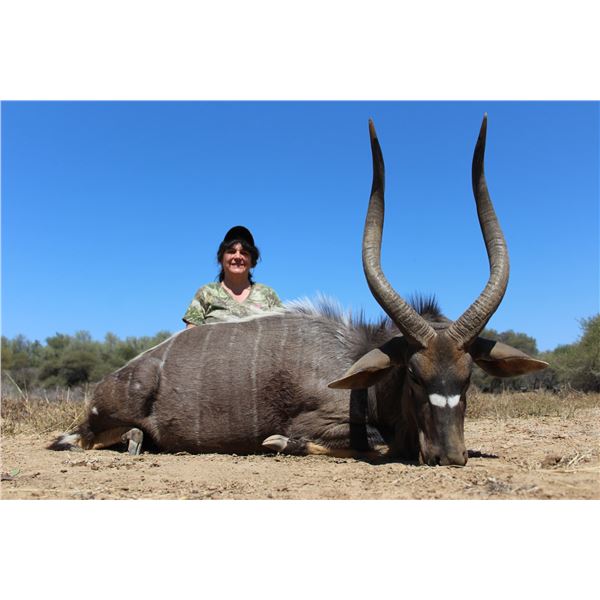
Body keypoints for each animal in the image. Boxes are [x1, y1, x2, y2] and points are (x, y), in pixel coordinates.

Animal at [49, 115, 547, 466]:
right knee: (79, 440)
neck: (356, 361)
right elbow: (367, 443)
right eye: (413, 374)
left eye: (468, 377)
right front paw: (277, 441)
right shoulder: (321, 421)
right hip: (101, 421)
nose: (449, 456)